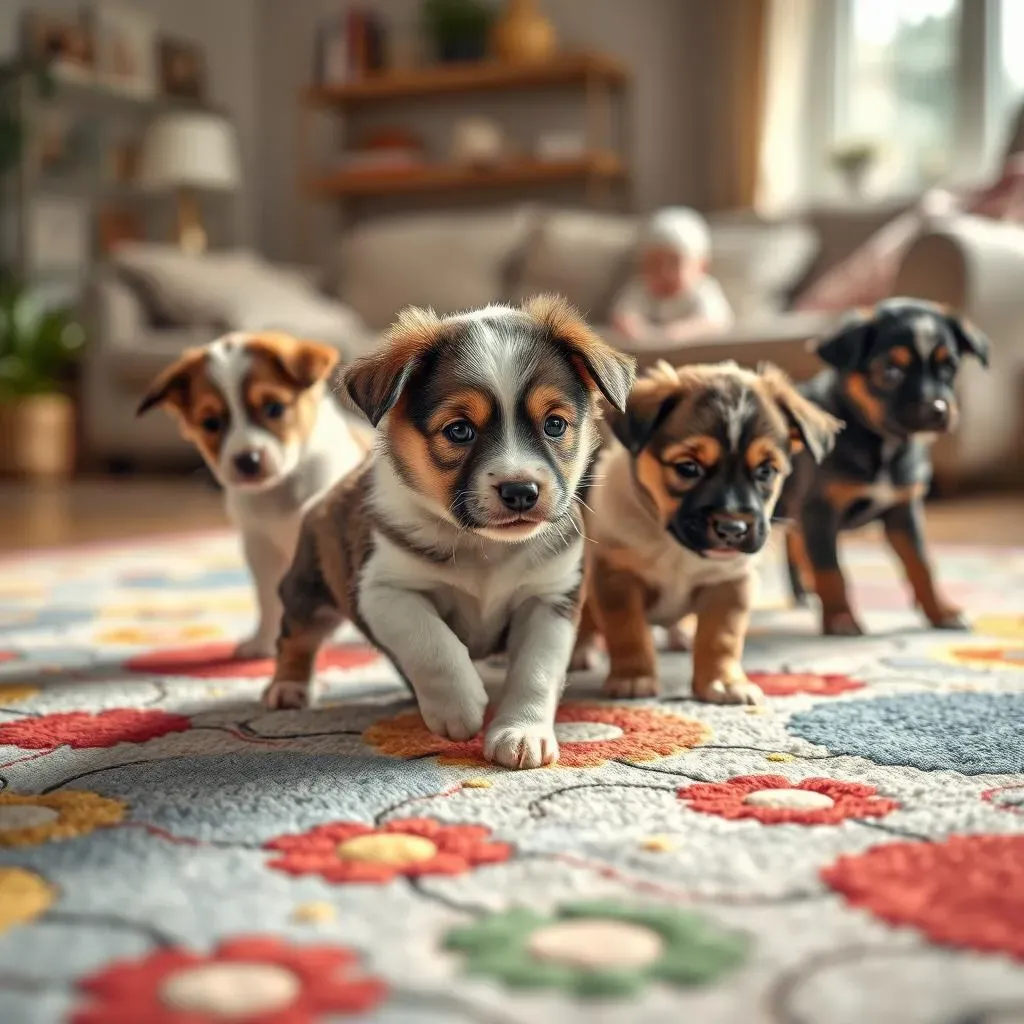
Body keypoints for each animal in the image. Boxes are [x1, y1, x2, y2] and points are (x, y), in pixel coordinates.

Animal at [138, 331, 366, 659]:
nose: (247, 460)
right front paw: (264, 641)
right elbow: (268, 598)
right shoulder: (260, 548)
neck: (280, 490)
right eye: (211, 423)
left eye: (274, 408)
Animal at [262, 296, 630, 770]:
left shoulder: (551, 597)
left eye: (555, 424)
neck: (484, 548)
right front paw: (458, 707)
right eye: (459, 430)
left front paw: (521, 732)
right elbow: (431, 642)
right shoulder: (383, 589)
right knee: (295, 637)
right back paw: (288, 688)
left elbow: (536, 671)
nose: (520, 491)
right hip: (308, 589)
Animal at [577, 360, 839, 704]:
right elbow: (627, 632)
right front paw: (633, 677)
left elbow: (721, 638)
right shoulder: (616, 578)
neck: (676, 547)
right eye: (688, 467)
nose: (732, 528)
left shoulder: (729, 582)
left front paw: (723, 682)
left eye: (766, 471)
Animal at [778, 296, 987, 630]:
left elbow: (922, 564)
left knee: (795, 545)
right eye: (890, 372)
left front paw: (941, 612)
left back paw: (804, 593)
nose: (937, 409)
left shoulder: (904, 512)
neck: (884, 442)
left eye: (949, 368)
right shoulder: (820, 509)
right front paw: (840, 618)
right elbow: (831, 570)